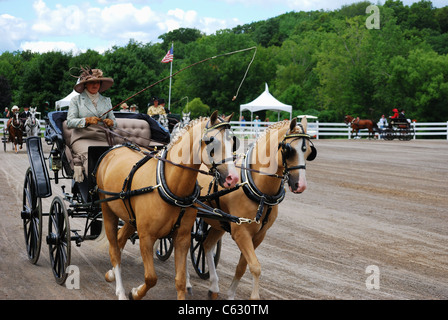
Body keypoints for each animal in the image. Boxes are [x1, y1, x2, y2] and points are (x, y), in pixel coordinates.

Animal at [96, 110, 240, 300]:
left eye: (233, 141)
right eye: (212, 141)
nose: (233, 178)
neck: (170, 185)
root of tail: (116, 148)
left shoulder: (182, 238)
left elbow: (180, 280)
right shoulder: (146, 237)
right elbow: (151, 278)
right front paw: (135, 293)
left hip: (130, 218)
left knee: (120, 240)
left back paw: (111, 274)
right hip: (108, 211)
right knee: (114, 249)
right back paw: (120, 291)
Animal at [192, 117, 316, 300]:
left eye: (309, 152)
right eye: (290, 150)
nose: (301, 185)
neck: (258, 189)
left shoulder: (259, 235)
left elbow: (242, 266)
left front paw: (231, 295)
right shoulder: (241, 232)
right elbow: (255, 267)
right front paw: (254, 296)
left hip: (218, 223)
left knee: (206, 245)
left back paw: (213, 287)